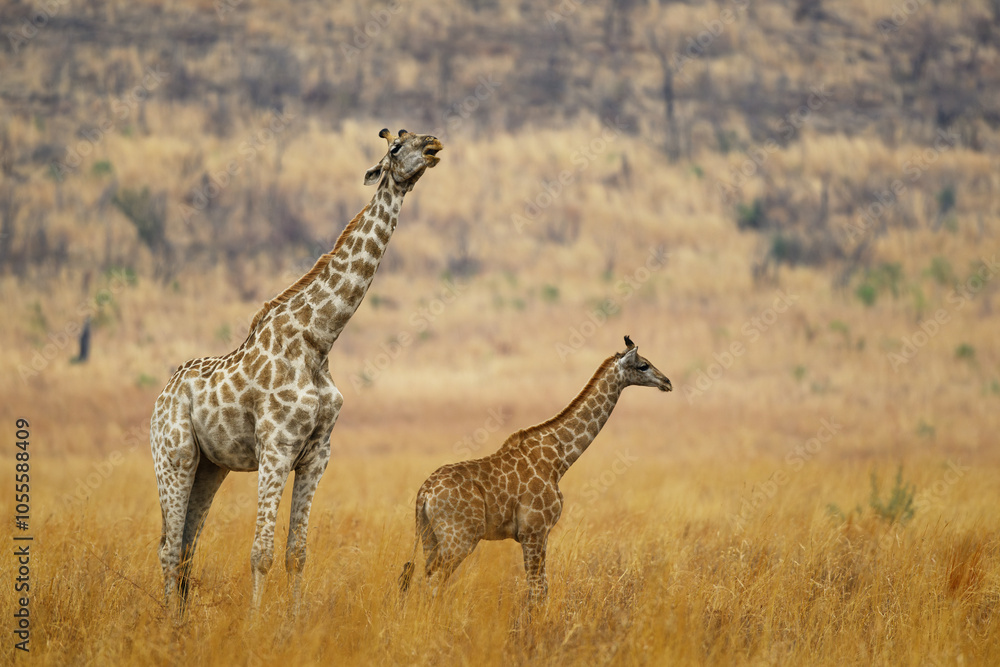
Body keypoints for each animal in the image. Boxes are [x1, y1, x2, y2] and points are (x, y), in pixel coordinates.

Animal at [150, 128, 442, 615]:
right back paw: (168, 623)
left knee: (188, 544)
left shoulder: (317, 454)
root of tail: (161, 396)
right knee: (169, 547)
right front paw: (255, 623)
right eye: (396, 147)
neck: (319, 339)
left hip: (211, 466)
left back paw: (181, 620)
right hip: (174, 456)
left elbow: (297, 553)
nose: (434, 145)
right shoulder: (276, 447)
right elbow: (261, 552)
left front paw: (294, 620)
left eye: (418, 136)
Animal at [398, 336, 671, 605]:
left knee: (423, 575)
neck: (559, 459)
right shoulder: (535, 530)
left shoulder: (534, 533)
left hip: (430, 536)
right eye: (643, 365)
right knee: (435, 580)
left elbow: (538, 588)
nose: (667, 382)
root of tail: (424, 493)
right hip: (460, 537)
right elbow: (539, 589)